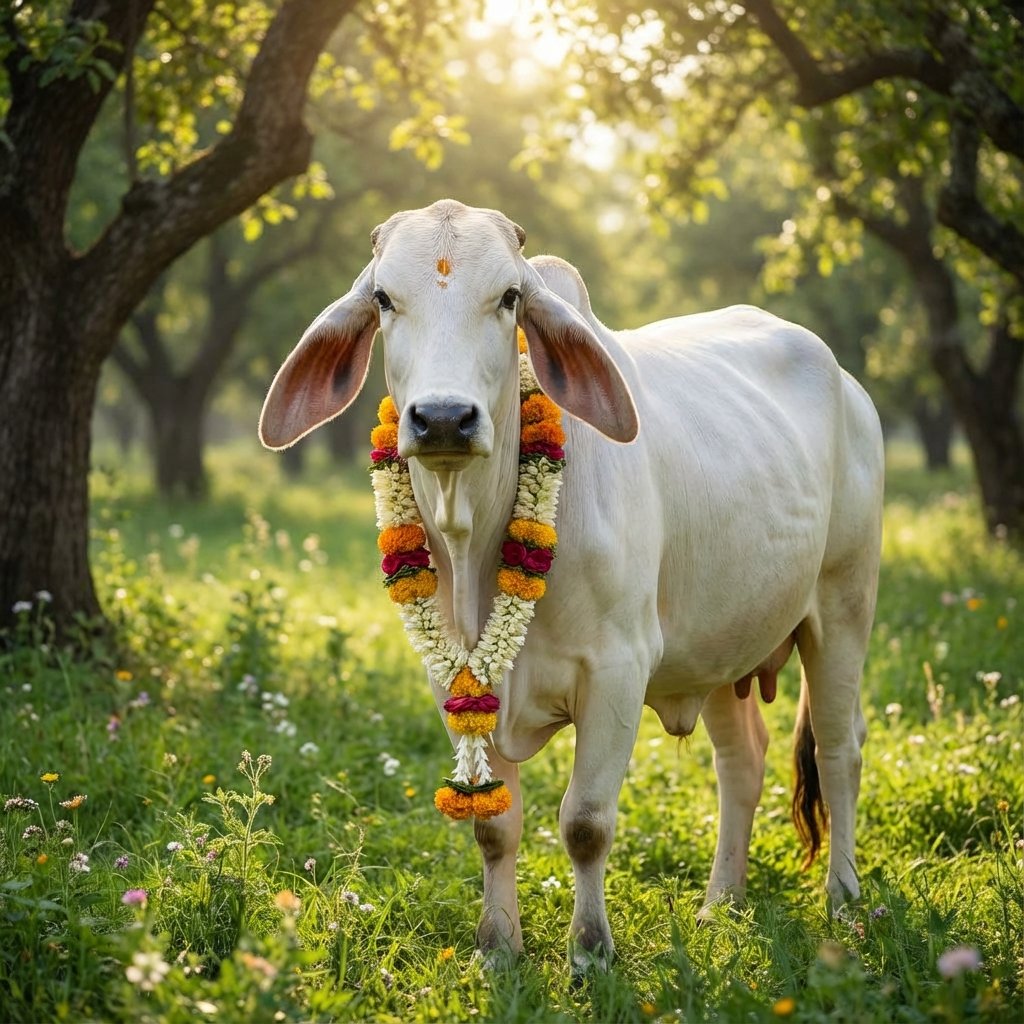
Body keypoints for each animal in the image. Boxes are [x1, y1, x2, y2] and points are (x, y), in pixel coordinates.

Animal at [259, 199, 884, 972]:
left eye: (509, 297)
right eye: (382, 298)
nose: (443, 418)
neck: (473, 544)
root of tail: (848, 383)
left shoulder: (617, 669)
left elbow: (585, 823)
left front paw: (589, 953)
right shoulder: (454, 681)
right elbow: (495, 828)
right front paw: (498, 948)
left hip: (844, 605)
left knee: (839, 749)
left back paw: (843, 900)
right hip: (719, 645)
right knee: (743, 758)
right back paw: (720, 905)